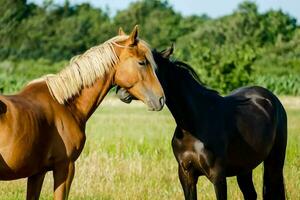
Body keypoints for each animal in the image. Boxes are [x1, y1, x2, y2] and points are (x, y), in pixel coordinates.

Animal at [116, 45, 288, 200]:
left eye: (149, 67)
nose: (121, 91)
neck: (193, 124)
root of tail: (270, 98)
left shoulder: (218, 177)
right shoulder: (186, 175)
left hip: (274, 163)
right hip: (245, 168)